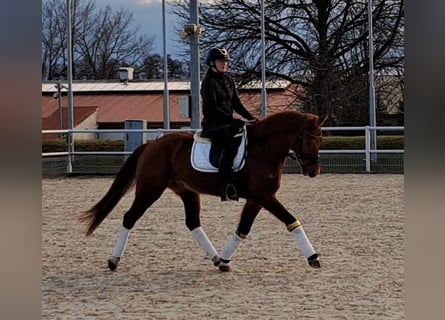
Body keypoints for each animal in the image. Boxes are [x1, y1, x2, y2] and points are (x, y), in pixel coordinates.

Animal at [80, 111, 328, 272]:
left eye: (321, 140)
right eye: (309, 141)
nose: (314, 171)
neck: (264, 149)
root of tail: (152, 145)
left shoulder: (257, 199)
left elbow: (243, 229)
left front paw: (225, 260)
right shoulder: (264, 197)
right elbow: (291, 221)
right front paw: (313, 257)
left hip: (187, 191)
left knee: (192, 222)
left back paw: (216, 258)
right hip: (150, 189)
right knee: (129, 217)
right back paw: (113, 260)